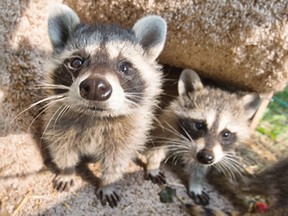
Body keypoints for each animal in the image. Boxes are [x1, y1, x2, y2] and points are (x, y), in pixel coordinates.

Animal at [41, 3, 165, 208]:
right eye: (76, 61)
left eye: (124, 67)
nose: (95, 88)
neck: (95, 117)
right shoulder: (58, 122)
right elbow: (62, 150)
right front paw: (66, 170)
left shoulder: (129, 133)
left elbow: (117, 161)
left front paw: (108, 182)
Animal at [145, 69, 260, 206]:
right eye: (199, 125)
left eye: (226, 134)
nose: (205, 156)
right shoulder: (166, 124)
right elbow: (157, 146)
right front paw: (153, 165)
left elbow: (199, 166)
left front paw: (195, 182)